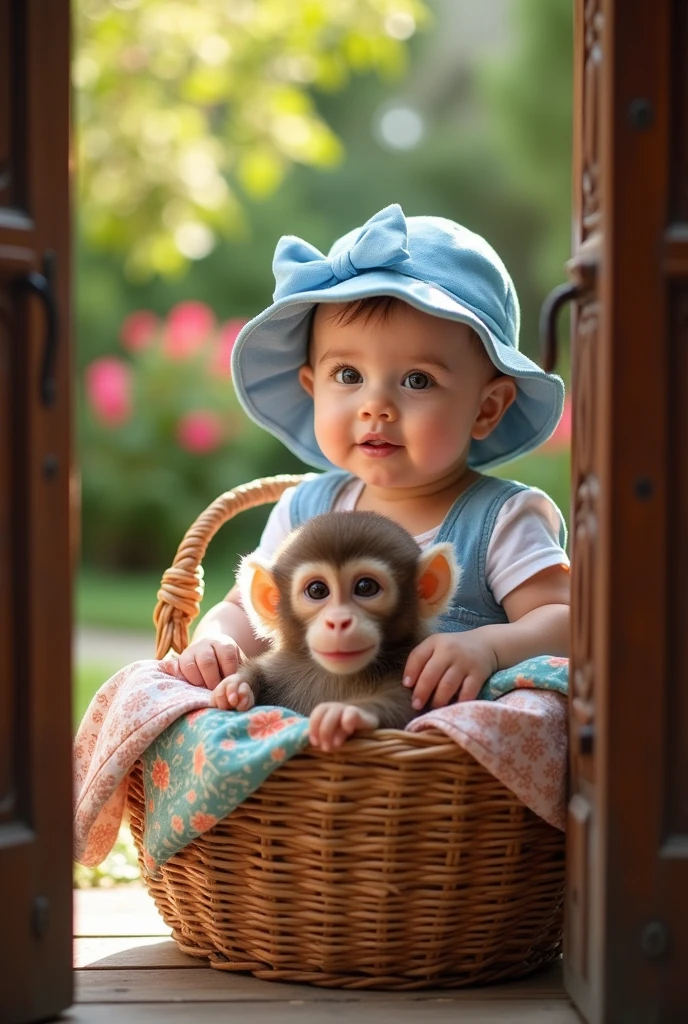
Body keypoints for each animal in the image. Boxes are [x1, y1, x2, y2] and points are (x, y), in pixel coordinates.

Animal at [207, 512, 456, 753]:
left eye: (366, 587)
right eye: (317, 590)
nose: (338, 621)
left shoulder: (410, 672)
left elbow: (408, 709)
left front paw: (348, 713)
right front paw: (236, 686)